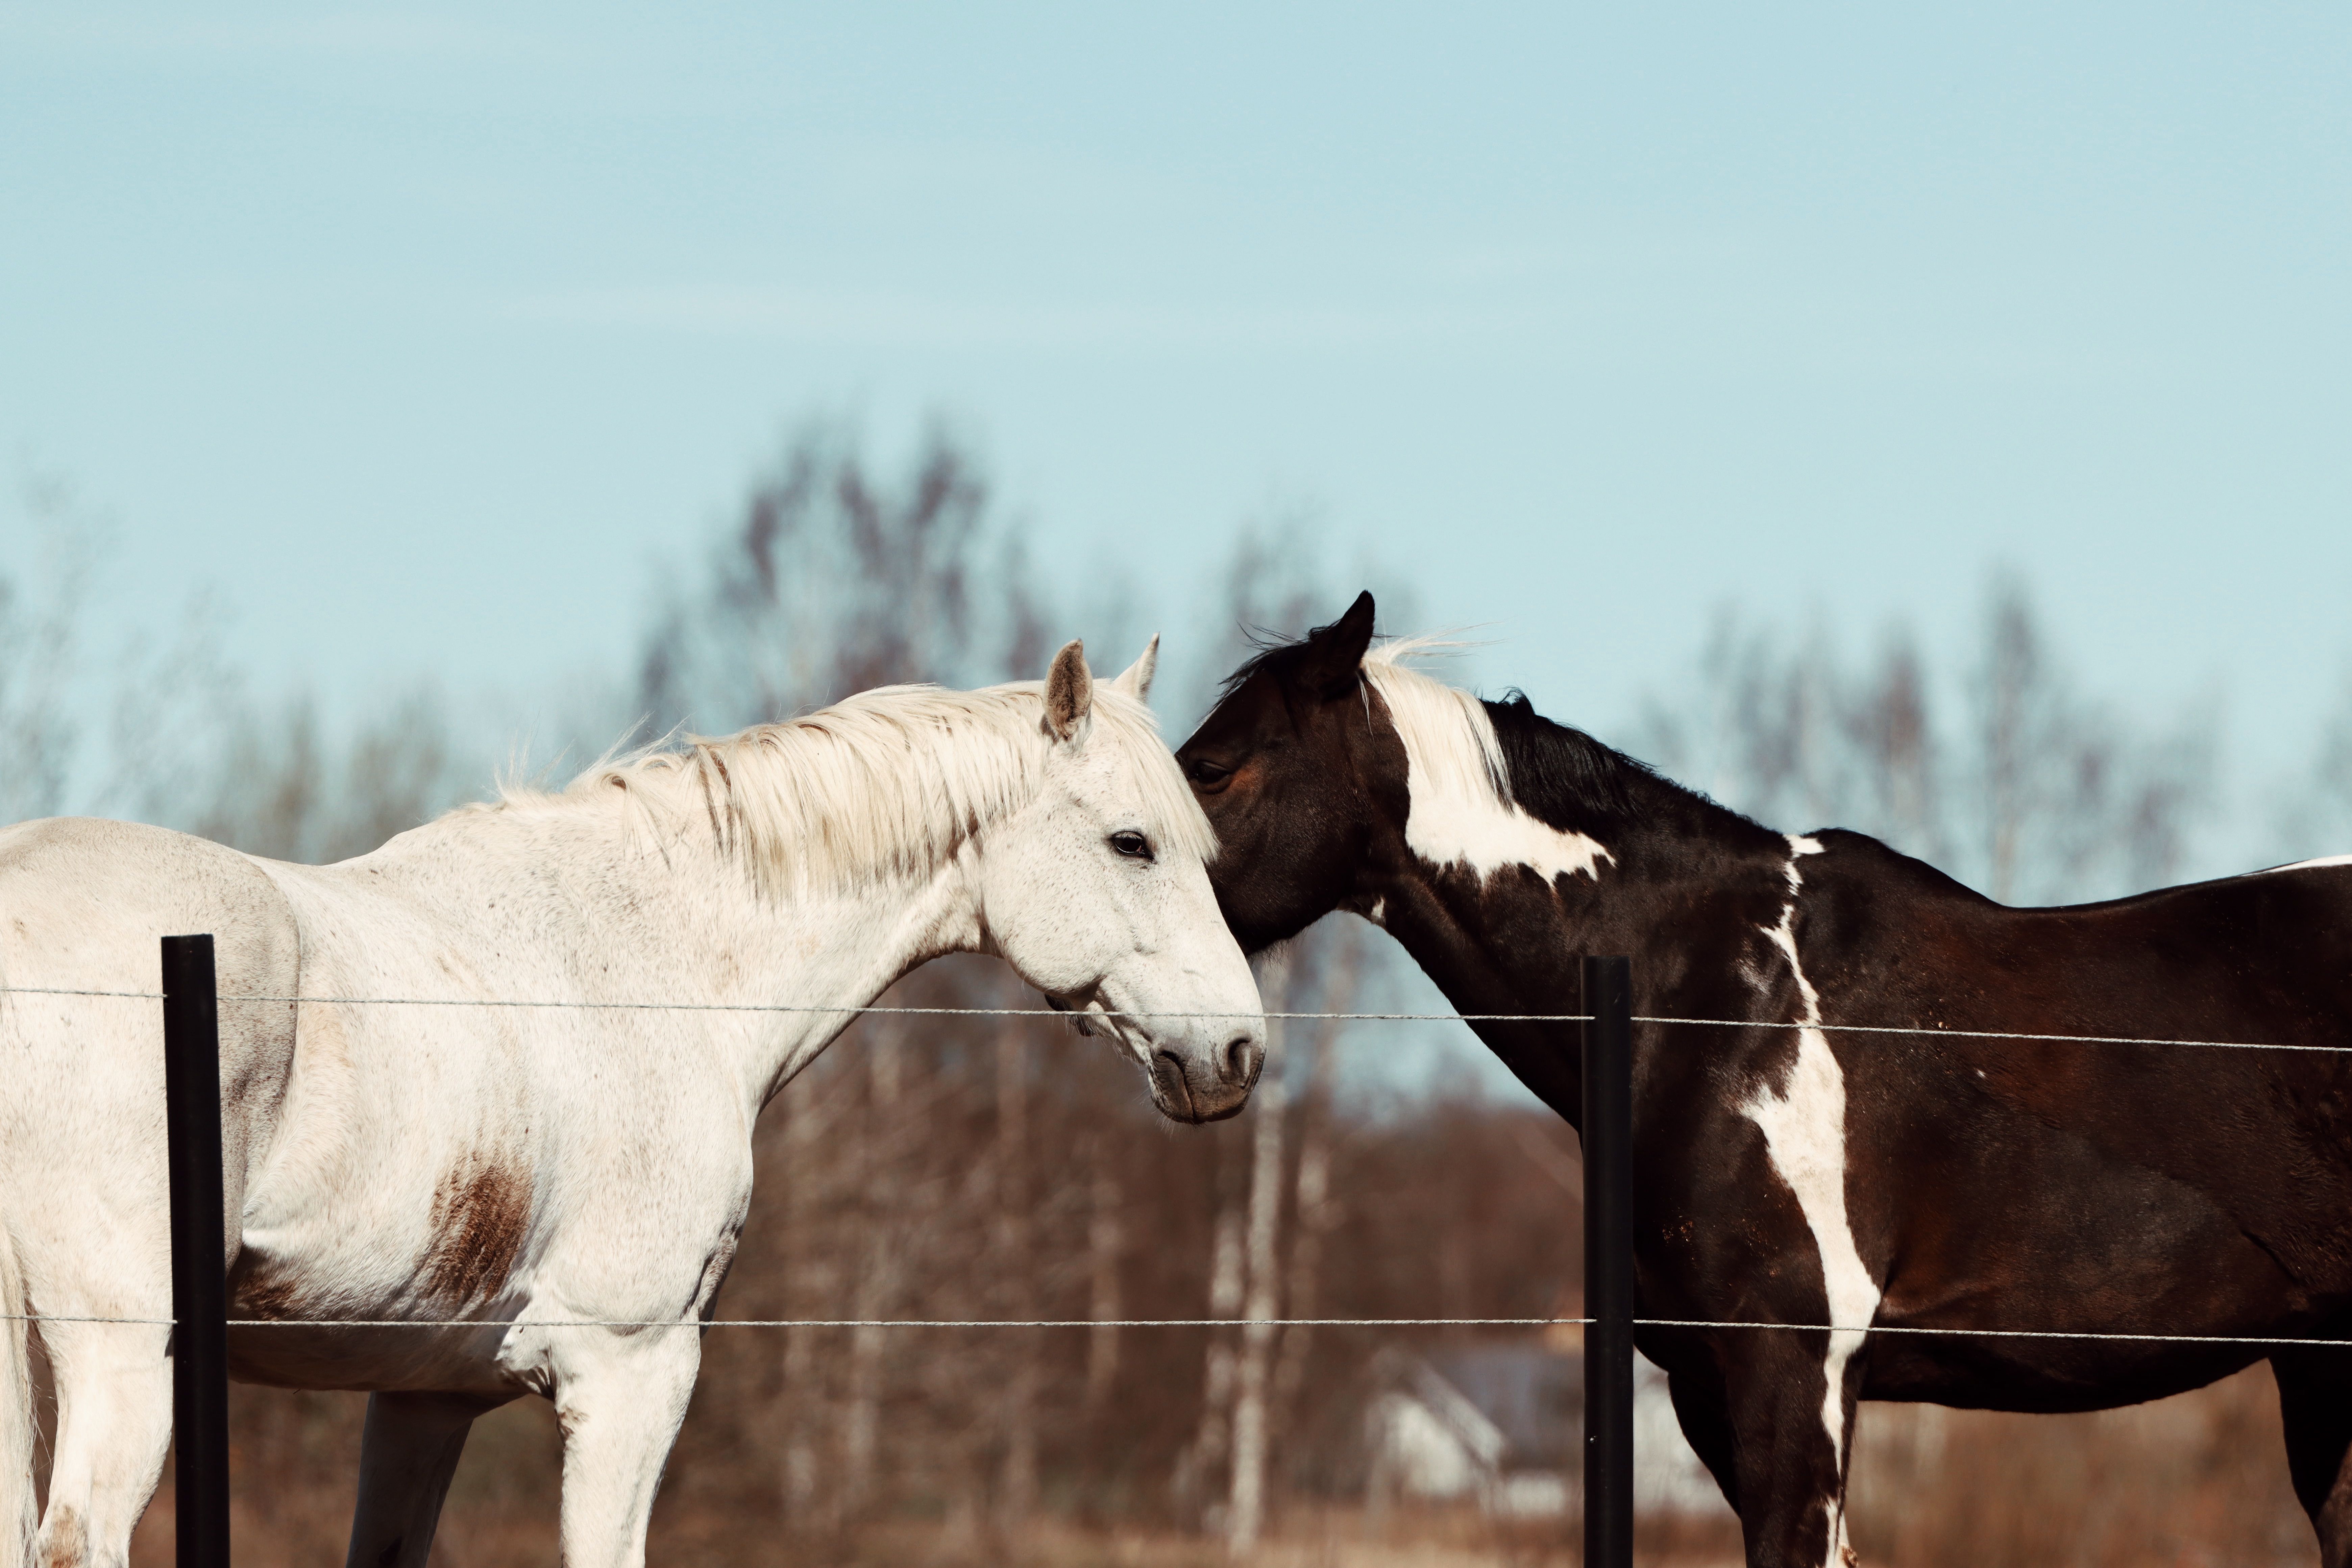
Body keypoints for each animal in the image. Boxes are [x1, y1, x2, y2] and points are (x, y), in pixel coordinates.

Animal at [0, 638, 1267, 1568]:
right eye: (1132, 842)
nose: (1238, 1052)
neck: (656, 960)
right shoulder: (630, 1369)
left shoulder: (420, 1397)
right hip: (125, 1354)